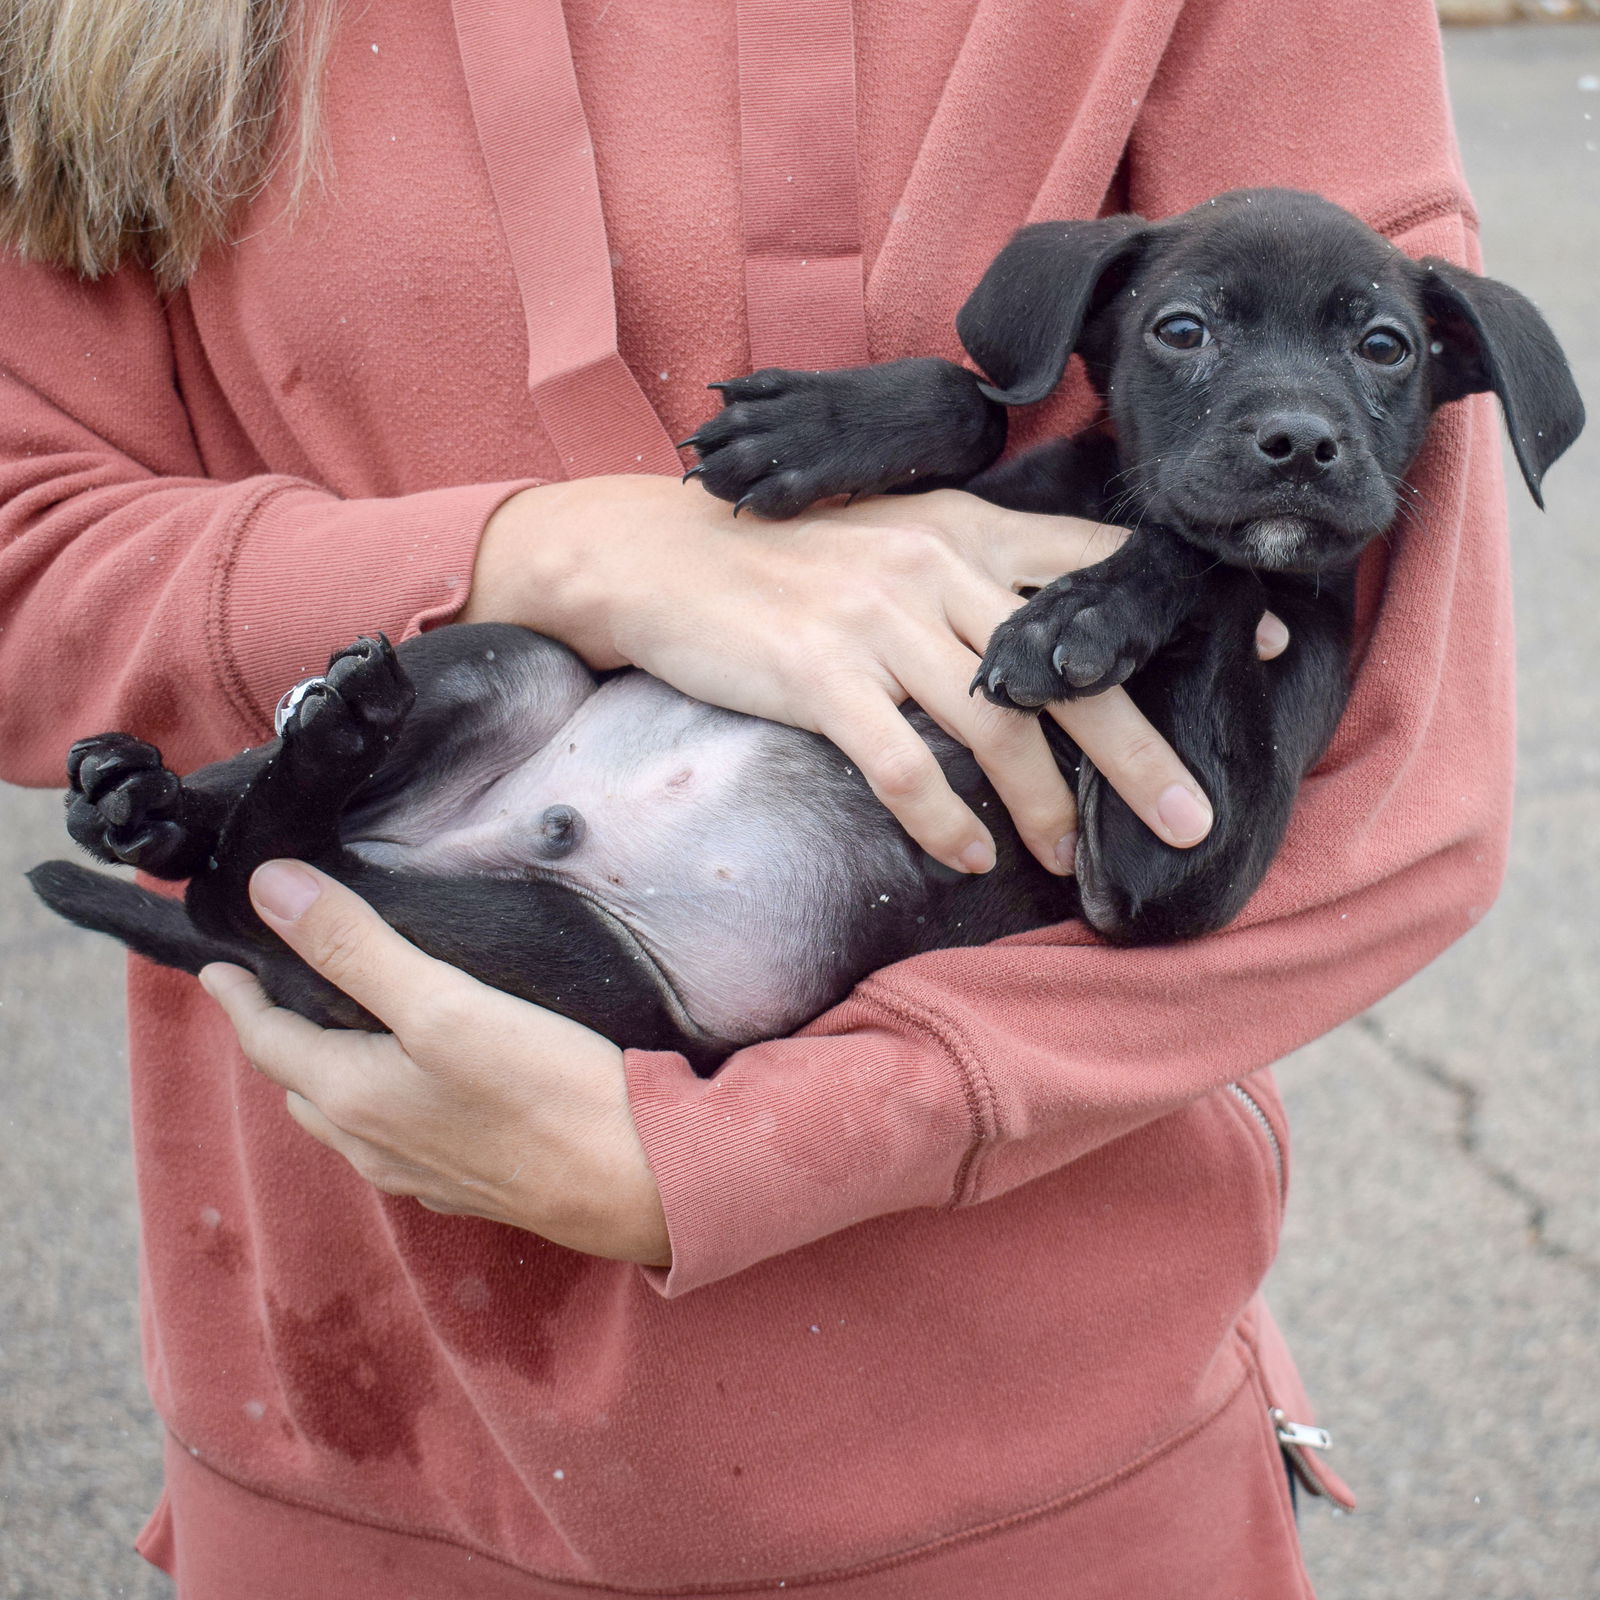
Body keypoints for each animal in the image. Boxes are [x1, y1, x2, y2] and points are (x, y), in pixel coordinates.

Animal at [31, 187, 1580, 1068]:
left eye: (1383, 348)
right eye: (1181, 329)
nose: (1299, 446)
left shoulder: (1171, 868)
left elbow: (1218, 564)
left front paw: (1091, 605)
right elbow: (978, 400)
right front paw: (822, 428)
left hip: (567, 971)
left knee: (255, 886)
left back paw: (285, 772)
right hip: (509, 666)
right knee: (250, 836)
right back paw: (164, 790)